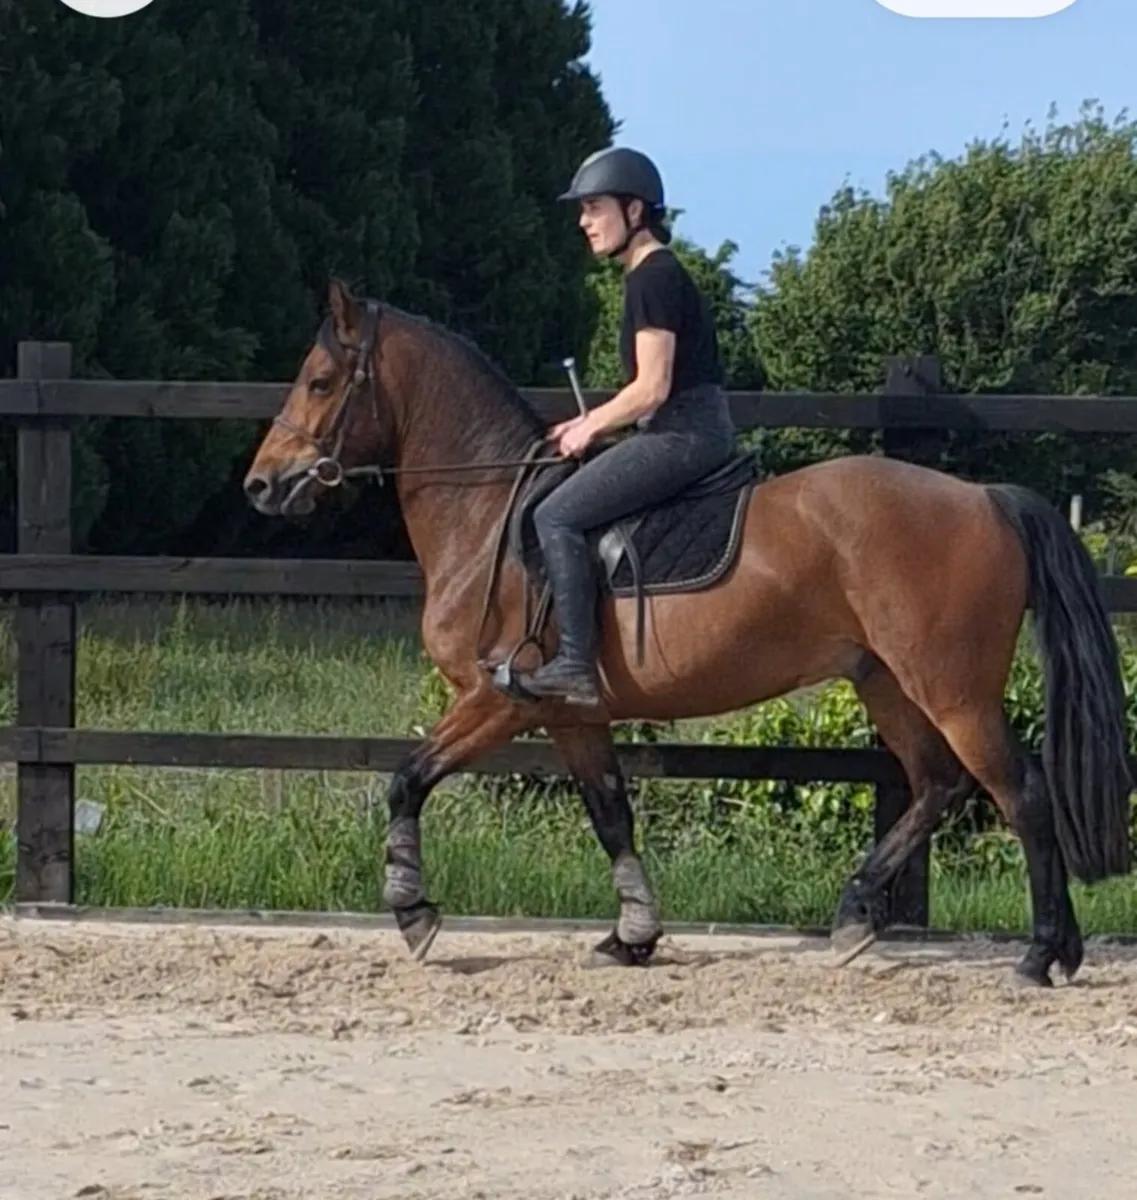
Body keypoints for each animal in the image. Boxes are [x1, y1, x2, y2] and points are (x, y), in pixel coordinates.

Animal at [243, 277, 1132, 987]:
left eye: (319, 380)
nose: (260, 485)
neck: (488, 505)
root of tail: (984, 497)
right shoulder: (571, 715)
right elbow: (610, 814)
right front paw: (633, 936)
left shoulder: (500, 700)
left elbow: (407, 779)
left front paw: (413, 913)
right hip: (883, 679)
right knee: (937, 784)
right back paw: (858, 919)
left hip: (950, 688)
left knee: (1019, 794)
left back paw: (1040, 955)